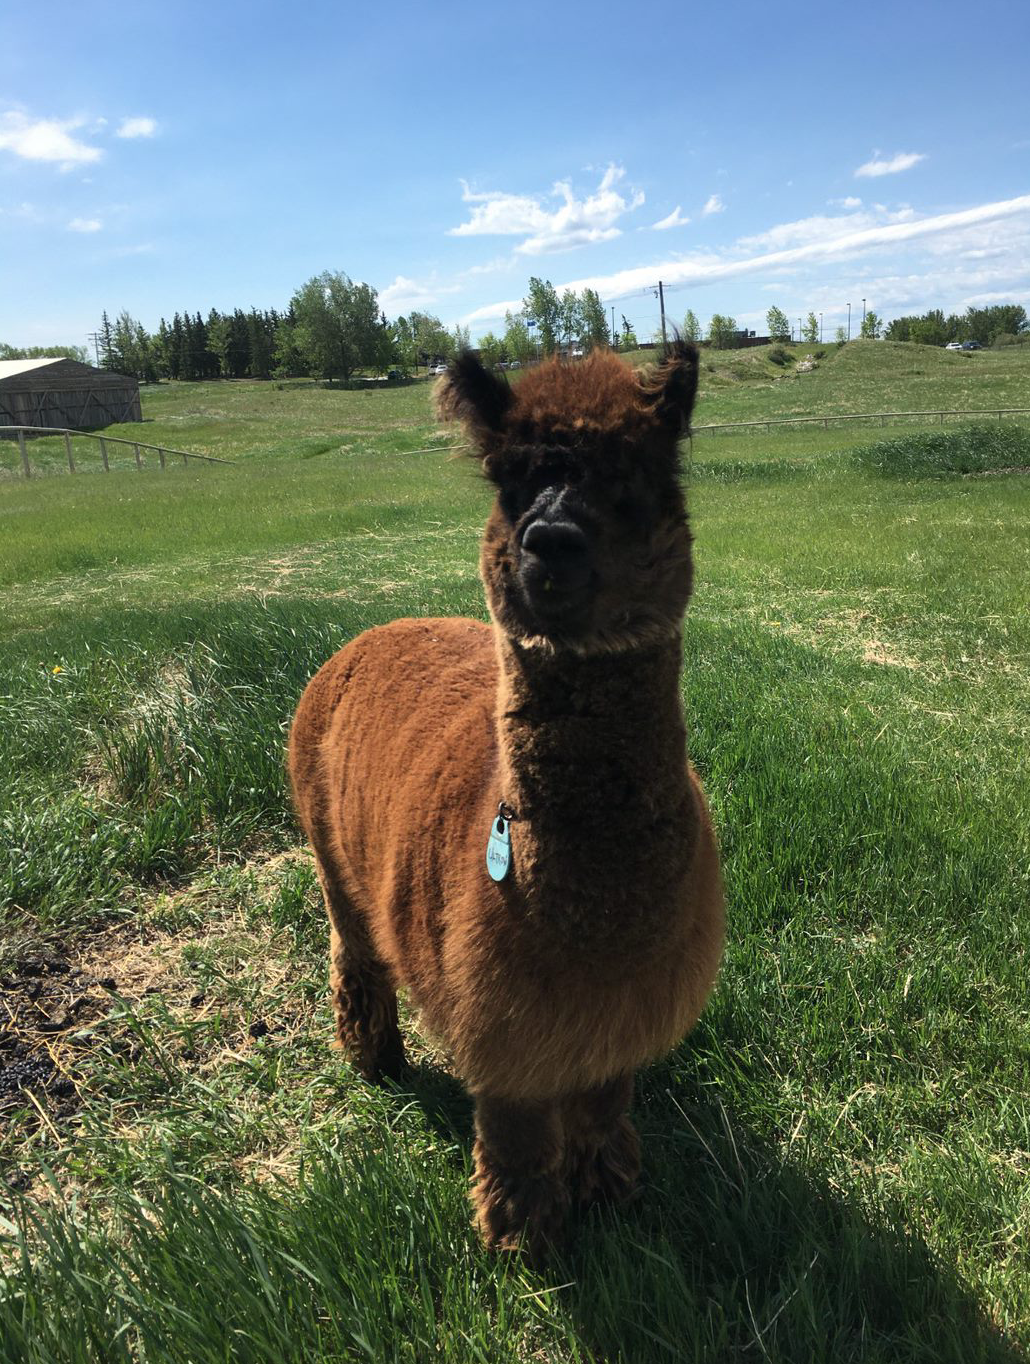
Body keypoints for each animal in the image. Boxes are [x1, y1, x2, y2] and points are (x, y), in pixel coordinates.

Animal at [289, 342, 724, 1252]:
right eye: (509, 480)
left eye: (635, 472)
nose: (549, 539)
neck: (596, 935)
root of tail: (368, 635)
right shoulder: (497, 1016)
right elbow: (517, 1129)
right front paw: (523, 1235)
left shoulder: (618, 1014)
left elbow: (601, 1104)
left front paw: (608, 1190)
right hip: (327, 845)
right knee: (353, 946)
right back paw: (373, 1059)